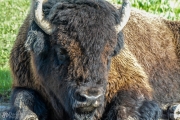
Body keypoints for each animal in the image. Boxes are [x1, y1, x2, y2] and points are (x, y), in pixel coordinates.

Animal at [3, 0, 180, 119]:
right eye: (61, 51)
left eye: (110, 53)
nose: (90, 98)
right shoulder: (23, 84)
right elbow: (23, 101)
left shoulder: (133, 84)